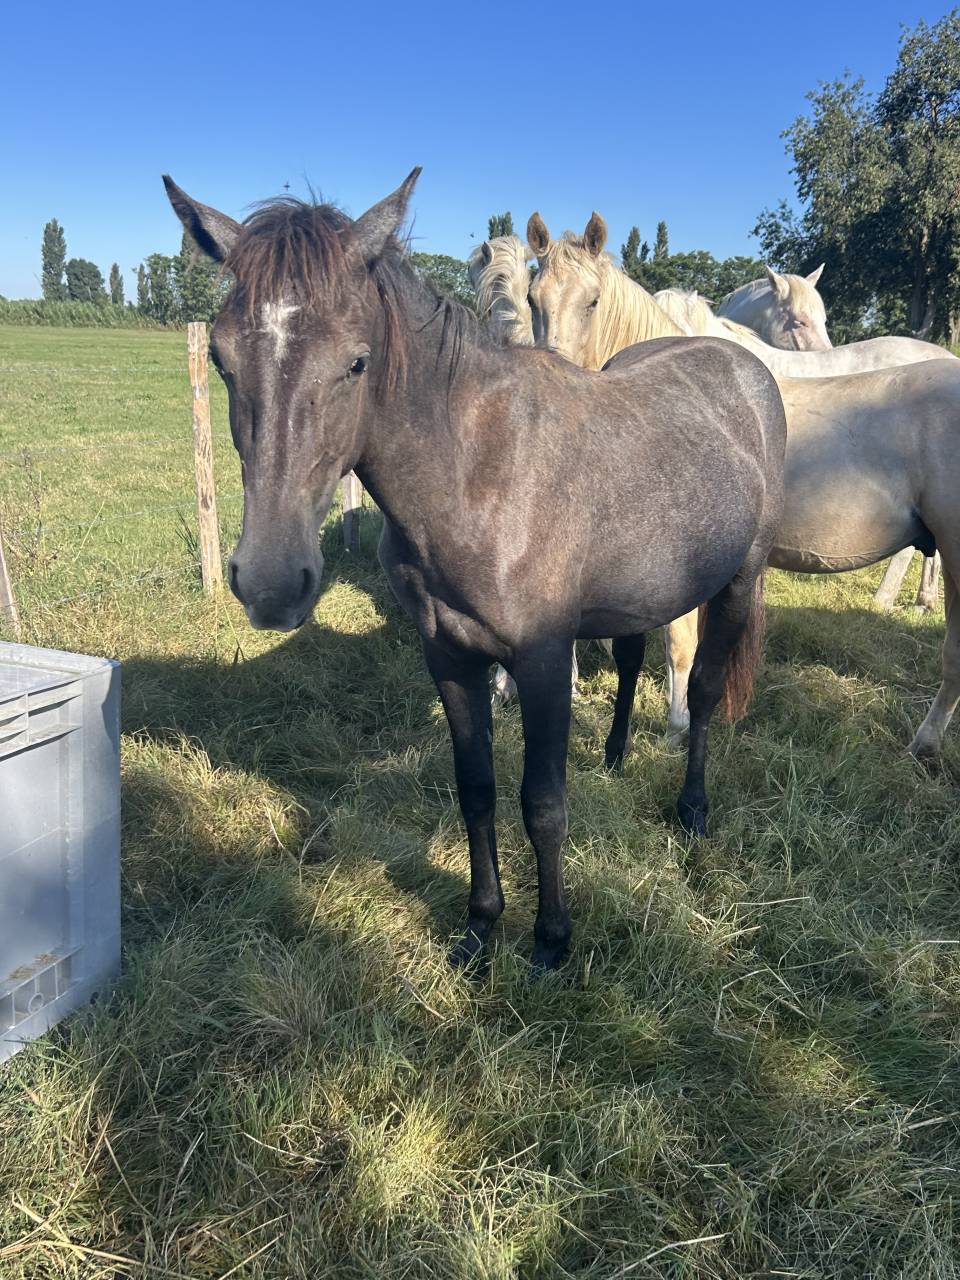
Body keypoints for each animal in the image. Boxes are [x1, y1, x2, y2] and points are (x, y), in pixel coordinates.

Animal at [163, 169, 787, 972]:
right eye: (221, 360)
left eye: (357, 362)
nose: (271, 583)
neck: (479, 471)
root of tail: (741, 366)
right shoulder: (449, 656)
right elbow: (477, 790)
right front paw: (480, 926)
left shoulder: (544, 659)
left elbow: (543, 804)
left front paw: (551, 938)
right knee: (629, 656)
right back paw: (616, 756)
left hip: (739, 581)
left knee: (705, 692)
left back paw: (692, 810)